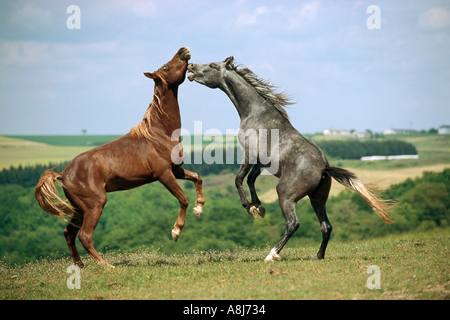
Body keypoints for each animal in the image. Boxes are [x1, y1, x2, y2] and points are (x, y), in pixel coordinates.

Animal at [35, 47, 204, 268]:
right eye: (166, 67)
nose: (184, 50)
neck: (159, 134)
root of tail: (63, 174)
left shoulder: (176, 170)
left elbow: (197, 178)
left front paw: (199, 209)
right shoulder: (164, 174)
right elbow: (183, 199)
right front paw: (176, 232)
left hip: (79, 208)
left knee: (69, 233)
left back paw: (80, 266)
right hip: (95, 205)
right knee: (84, 236)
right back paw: (107, 266)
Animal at [188, 57, 392, 262]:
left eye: (212, 66)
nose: (190, 67)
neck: (256, 112)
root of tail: (324, 168)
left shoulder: (249, 154)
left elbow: (239, 179)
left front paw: (249, 207)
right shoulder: (261, 162)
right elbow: (251, 179)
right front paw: (258, 206)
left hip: (285, 195)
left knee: (293, 224)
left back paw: (272, 255)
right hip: (317, 199)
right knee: (326, 226)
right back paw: (317, 255)